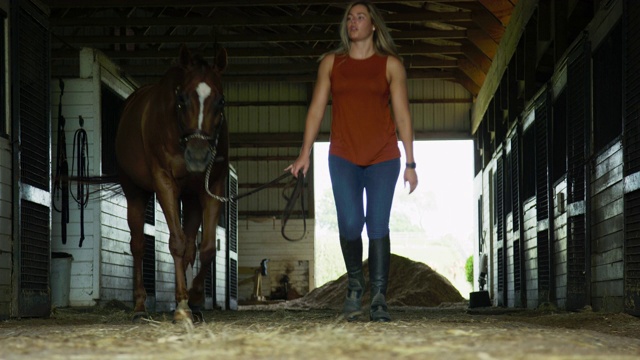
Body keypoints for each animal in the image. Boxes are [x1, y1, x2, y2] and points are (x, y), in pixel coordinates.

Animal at [116, 43, 229, 322]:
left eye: (221, 101)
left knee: (191, 246)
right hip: (136, 192)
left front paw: (195, 297)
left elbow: (206, 248)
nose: (198, 157)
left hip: (190, 199)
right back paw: (140, 306)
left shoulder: (213, 186)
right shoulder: (164, 182)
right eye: (182, 99)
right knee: (138, 245)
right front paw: (182, 307)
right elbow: (175, 243)